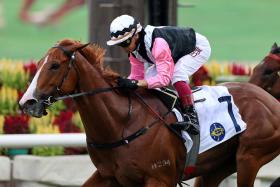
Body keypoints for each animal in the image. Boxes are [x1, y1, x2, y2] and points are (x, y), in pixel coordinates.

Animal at [19, 38, 280, 186]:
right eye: (39, 63)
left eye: (54, 65)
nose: (27, 102)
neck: (121, 123)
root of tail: (271, 101)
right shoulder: (107, 175)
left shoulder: (159, 178)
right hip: (216, 167)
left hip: (250, 156)